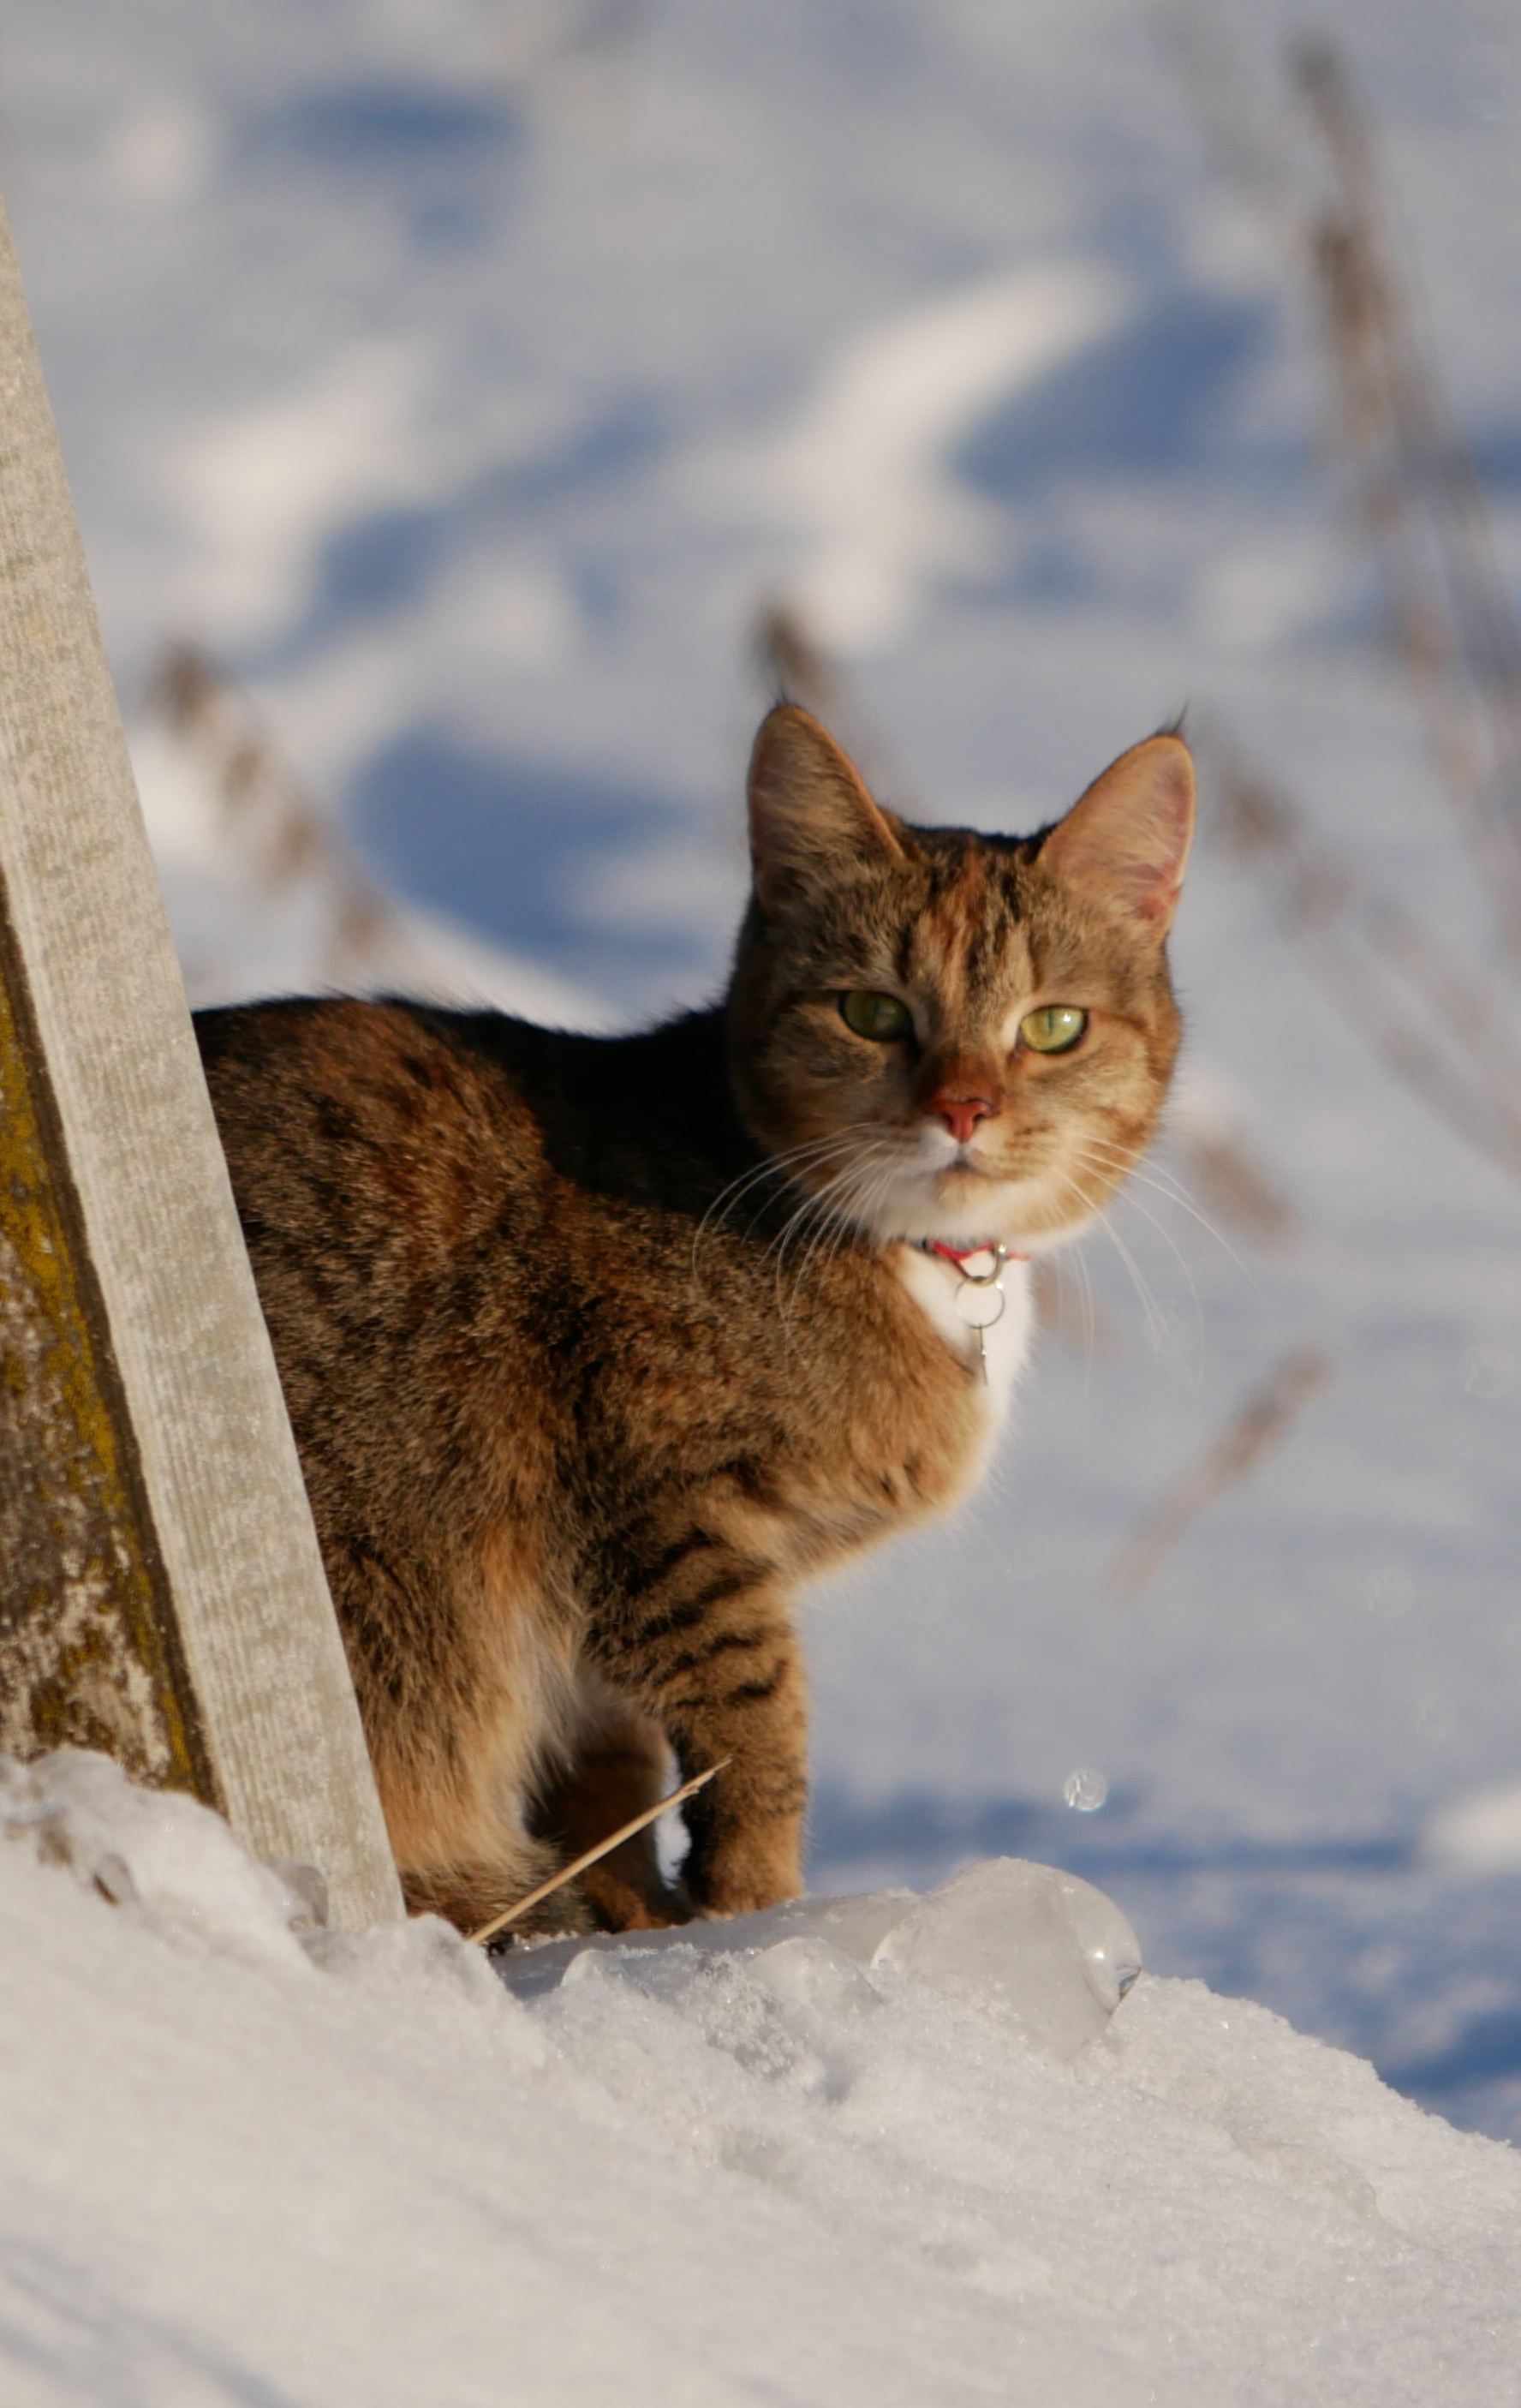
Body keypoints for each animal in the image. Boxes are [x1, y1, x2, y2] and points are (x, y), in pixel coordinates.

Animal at [192, 702, 1189, 1936]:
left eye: (1053, 1026)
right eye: (872, 1013)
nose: (964, 1106)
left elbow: (617, 1772)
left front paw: (641, 1897)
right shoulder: (656, 1505)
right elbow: (758, 1713)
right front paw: (753, 1903)